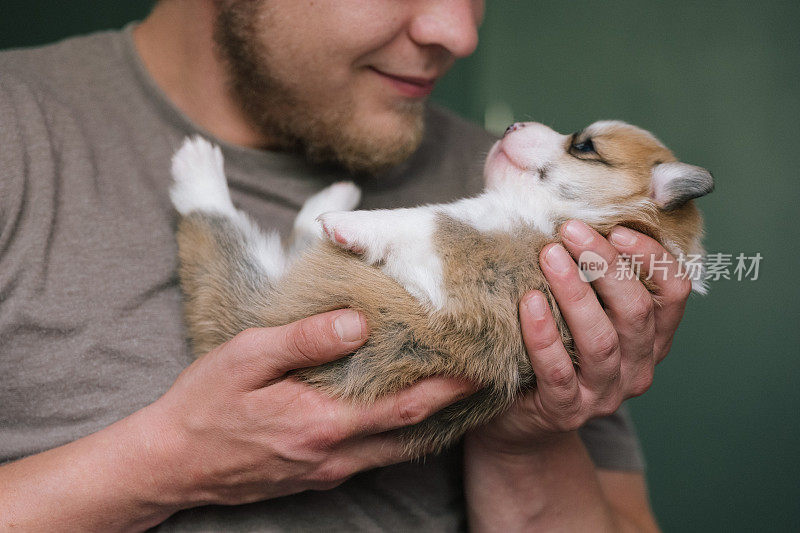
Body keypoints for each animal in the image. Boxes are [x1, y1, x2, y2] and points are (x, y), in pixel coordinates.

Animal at [169, 119, 712, 454]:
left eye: (583, 146)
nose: (511, 125)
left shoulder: (467, 267)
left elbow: (425, 221)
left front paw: (351, 224)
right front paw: (341, 211)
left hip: (249, 292)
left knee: (217, 231)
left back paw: (201, 168)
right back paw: (336, 190)